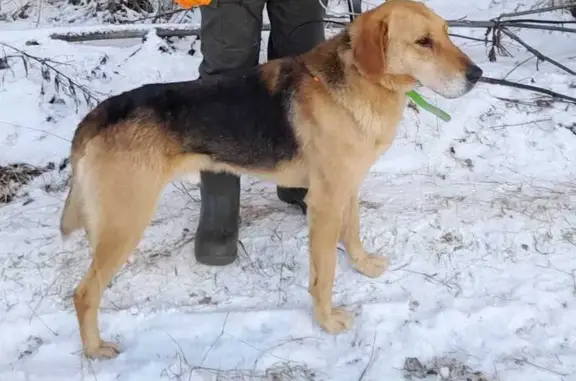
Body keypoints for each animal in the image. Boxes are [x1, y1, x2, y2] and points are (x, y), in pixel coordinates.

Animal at [59, 0, 482, 358]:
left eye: (446, 32)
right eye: (423, 42)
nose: (477, 75)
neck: (360, 81)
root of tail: (99, 113)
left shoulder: (346, 187)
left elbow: (353, 233)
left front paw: (361, 265)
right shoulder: (326, 203)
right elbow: (325, 275)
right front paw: (327, 320)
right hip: (125, 224)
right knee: (83, 294)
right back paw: (95, 348)